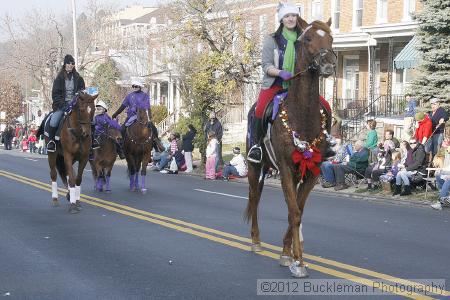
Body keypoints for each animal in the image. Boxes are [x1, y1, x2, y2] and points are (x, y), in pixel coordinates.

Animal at [244, 17, 336, 278]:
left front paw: (288, 254)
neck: (301, 115)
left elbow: (297, 211)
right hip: (255, 167)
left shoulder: (312, 171)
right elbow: (294, 212)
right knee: (254, 198)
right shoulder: (285, 167)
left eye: (331, 37)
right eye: (308, 38)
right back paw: (255, 241)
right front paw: (300, 262)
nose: (328, 64)